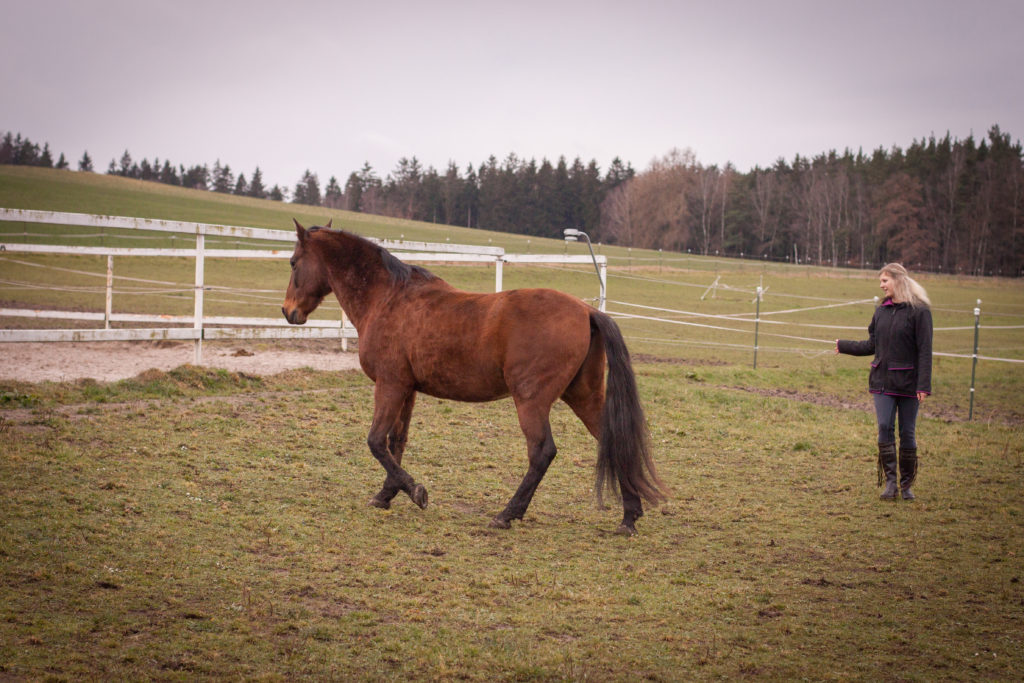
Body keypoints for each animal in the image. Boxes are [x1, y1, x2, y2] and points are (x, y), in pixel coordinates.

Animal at [280, 219, 663, 532]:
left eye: (294, 262)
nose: (288, 311)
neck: (389, 298)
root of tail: (585, 310)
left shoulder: (389, 385)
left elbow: (376, 441)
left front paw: (415, 492)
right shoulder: (407, 389)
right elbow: (395, 441)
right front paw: (387, 494)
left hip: (531, 401)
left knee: (542, 452)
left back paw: (507, 514)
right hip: (582, 396)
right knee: (613, 441)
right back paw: (629, 517)